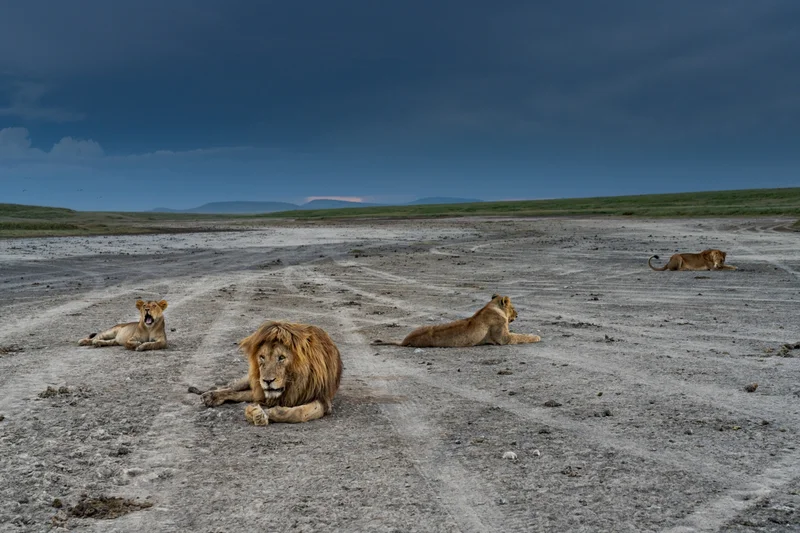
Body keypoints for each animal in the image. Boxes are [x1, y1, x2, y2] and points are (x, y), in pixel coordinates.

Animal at [193, 321, 343, 425]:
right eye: (262, 357)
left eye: (281, 357)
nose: (267, 381)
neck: (293, 384)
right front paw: (258, 414)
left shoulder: (323, 399)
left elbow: (298, 412)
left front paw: (264, 414)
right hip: (253, 380)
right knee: (232, 388)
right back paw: (210, 395)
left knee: (243, 393)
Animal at [371, 294, 541, 347]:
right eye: (513, 307)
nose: (518, 314)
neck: (490, 307)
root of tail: (405, 340)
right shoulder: (503, 338)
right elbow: (521, 336)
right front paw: (537, 337)